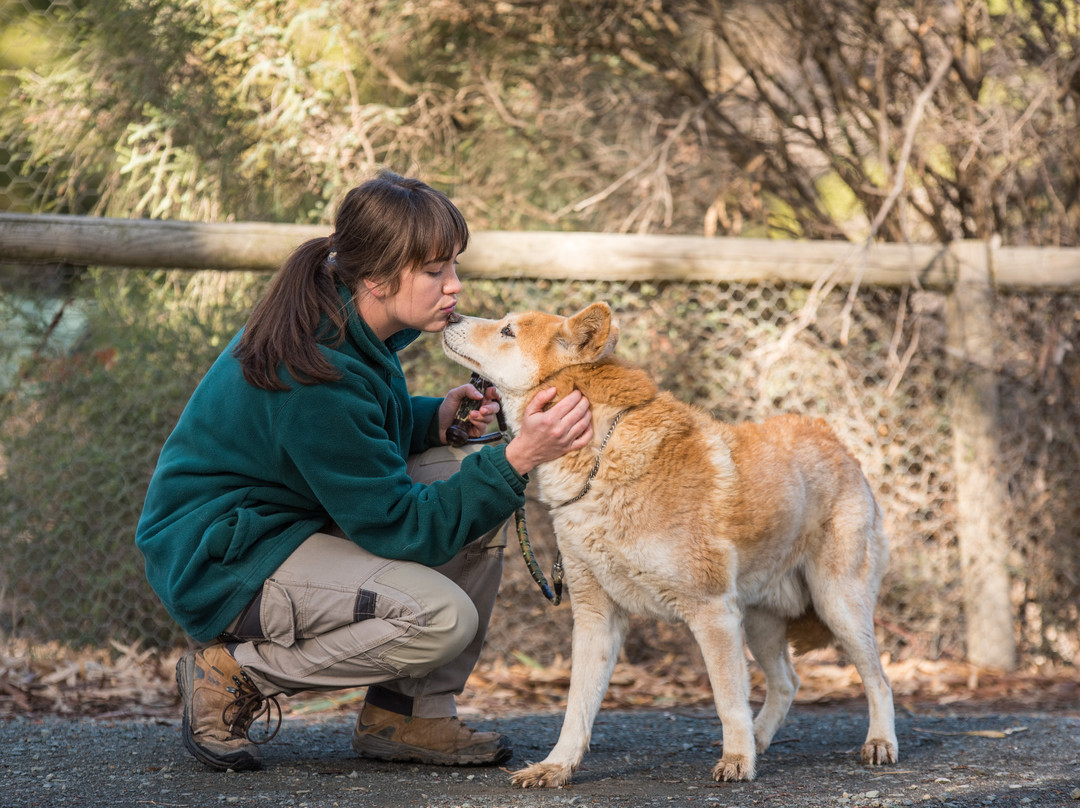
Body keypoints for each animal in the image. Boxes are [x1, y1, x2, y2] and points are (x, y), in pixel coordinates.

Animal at [438, 300, 894, 786]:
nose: (451, 316)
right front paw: (556, 767)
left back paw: (879, 743)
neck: (601, 458)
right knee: (788, 682)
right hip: (759, 622)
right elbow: (577, 709)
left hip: (837, 607)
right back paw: (762, 739)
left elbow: (727, 700)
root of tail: (834, 438)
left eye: (507, 330)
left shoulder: (712, 613)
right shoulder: (597, 618)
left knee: (878, 681)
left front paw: (737, 760)